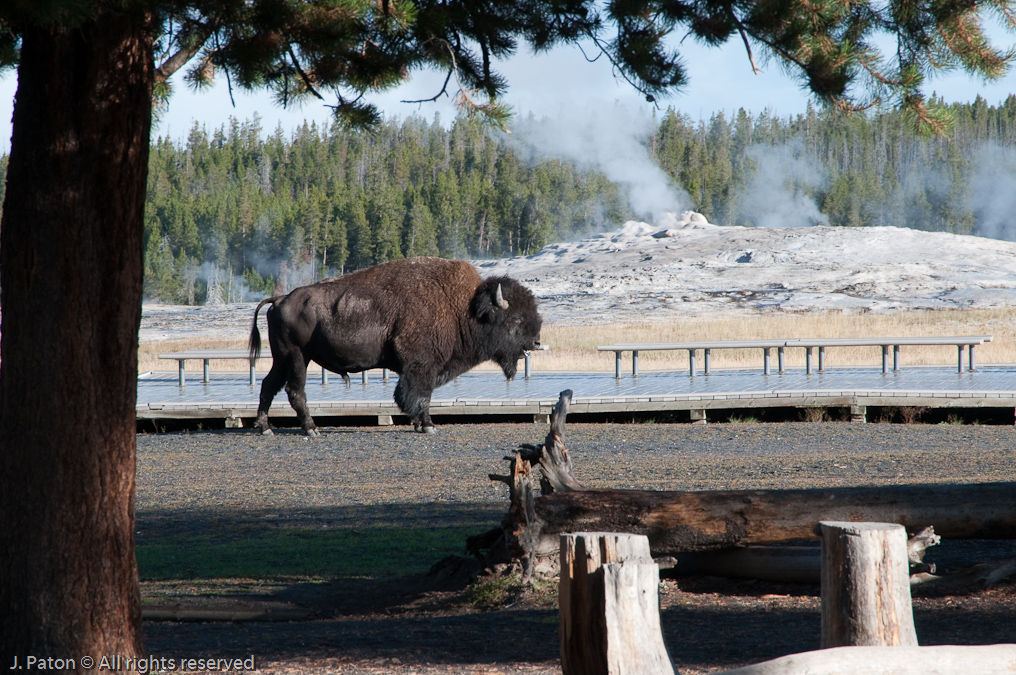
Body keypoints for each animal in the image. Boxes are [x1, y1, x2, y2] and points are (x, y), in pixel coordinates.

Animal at [248, 256, 543, 435]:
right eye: (516, 318)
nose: (537, 341)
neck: (462, 307)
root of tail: (280, 299)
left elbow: (418, 395)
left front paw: (418, 424)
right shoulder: (422, 365)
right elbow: (420, 396)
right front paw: (428, 426)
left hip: (282, 358)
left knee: (269, 385)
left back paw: (265, 428)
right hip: (297, 357)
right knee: (294, 391)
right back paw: (311, 429)